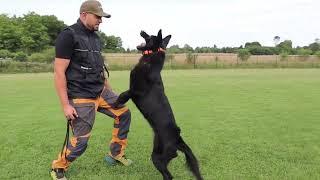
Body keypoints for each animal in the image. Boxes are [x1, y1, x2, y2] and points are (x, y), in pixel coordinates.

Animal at [112, 29, 202, 180]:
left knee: (168, 175)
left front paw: (115, 104)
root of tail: (178, 139)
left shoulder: (135, 90)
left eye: (150, 36)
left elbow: (123, 95)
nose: (141, 30)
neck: (150, 62)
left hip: (157, 157)